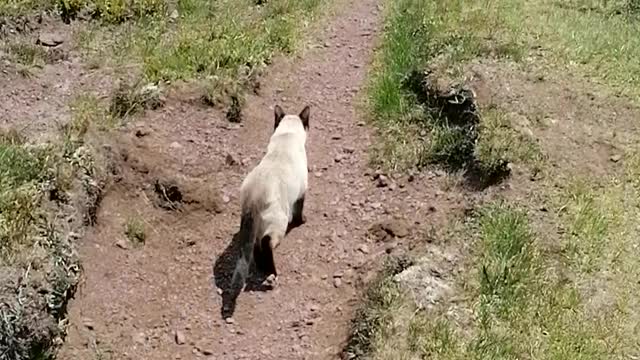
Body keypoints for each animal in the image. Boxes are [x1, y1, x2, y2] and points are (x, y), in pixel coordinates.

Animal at [230, 103, 310, 292]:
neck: (287, 137)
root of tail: (253, 196)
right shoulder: (302, 192)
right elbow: (299, 211)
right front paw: (302, 220)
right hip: (279, 223)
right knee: (265, 245)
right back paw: (271, 276)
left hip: (257, 227)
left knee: (255, 249)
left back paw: (263, 270)